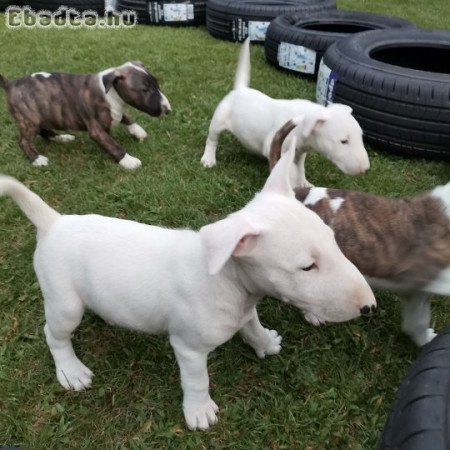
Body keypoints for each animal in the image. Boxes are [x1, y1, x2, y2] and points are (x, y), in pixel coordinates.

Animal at [0, 61, 171, 169]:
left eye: (157, 85)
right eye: (145, 90)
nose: (168, 110)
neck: (110, 91)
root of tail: (11, 84)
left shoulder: (116, 110)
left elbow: (126, 117)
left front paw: (138, 131)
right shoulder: (96, 129)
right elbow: (113, 145)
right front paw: (128, 160)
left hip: (41, 115)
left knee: (44, 131)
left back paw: (62, 138)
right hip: (29, 119)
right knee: (24, 141)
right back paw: (37, 159)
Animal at [0, 147, 376, 428]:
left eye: (333, 240)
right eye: (307, 267)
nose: (369, 307)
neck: (227, 278)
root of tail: (53, 222)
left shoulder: (244, 308)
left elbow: (252, 325)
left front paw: (265, 342)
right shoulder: (188, 347)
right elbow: (198, 379)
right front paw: (199, 411)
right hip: (64, 302)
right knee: (54, 334)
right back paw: (71, 371)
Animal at [200, 37, 370, 187]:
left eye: (361, 137)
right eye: (344, 141)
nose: (365, 169)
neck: (303, 123)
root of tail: (240, 89)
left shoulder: (300, 152)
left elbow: (300, 168)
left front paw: (304, 182)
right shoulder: (275, 143)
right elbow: (289, 167)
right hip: (218, 121)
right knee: (212, 140)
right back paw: (208, 159)